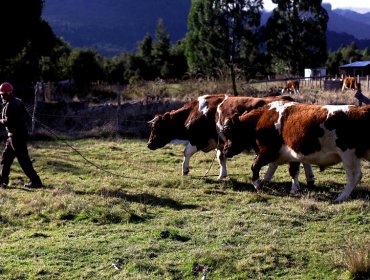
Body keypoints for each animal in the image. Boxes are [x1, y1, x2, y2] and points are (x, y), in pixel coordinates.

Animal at [146, 94, 314, 185]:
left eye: (156, 127)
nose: (149, 144)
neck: (194, 112)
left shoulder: (199, 139)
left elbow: (186, 152)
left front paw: (185, 170)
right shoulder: (220, 142)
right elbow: (221, 157)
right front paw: (222, 175)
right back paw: (310, 179)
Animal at [221, 100, 370, 201]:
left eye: (229, 132)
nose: (225, 150)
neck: (261, 120)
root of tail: (362, 109)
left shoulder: (267, 151)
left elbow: (255, 166)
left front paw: (257, 184)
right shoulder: (292, 154)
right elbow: (293, 171)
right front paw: (294, 188)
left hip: (348, 155)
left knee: (354, 175)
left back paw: (342, 196)